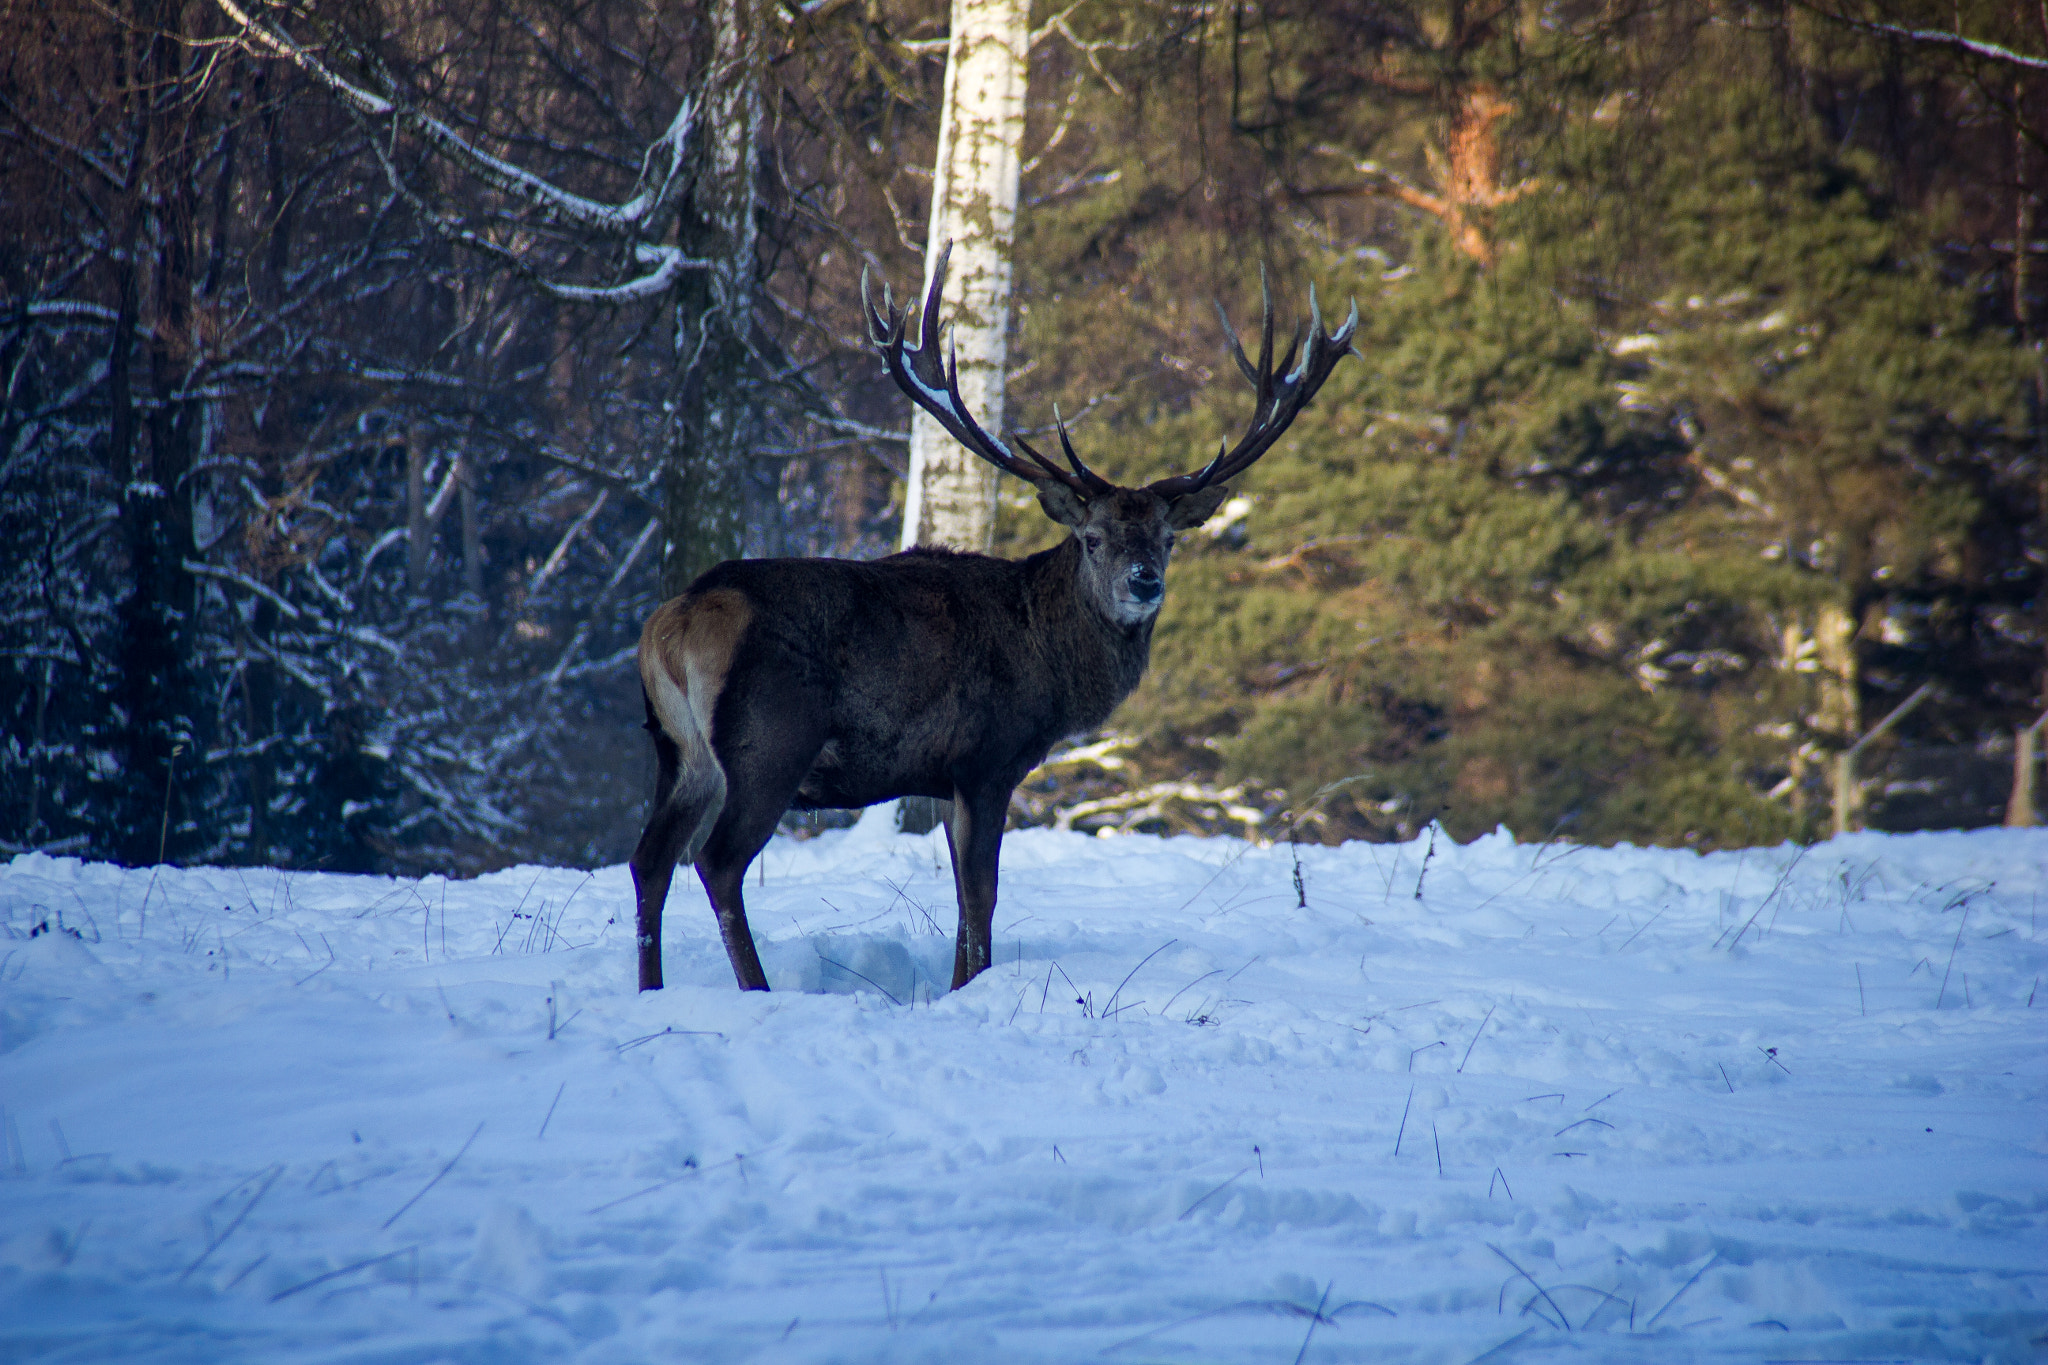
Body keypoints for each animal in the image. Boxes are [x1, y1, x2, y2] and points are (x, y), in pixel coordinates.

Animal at [630, 245, 1351, 994]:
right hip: (770, 737)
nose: (1143, 581)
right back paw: (758, 989)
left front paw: (959, 982)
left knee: (650, 858)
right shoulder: (988, 757)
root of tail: (675, 621)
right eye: (1093, 538)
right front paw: (969, 987)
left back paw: (651, 988)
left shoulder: (947, 779)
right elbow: (982, 893)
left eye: (1167, 538)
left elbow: (960, 895)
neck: (1052, 668)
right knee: (715, 860)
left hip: (678, 749)